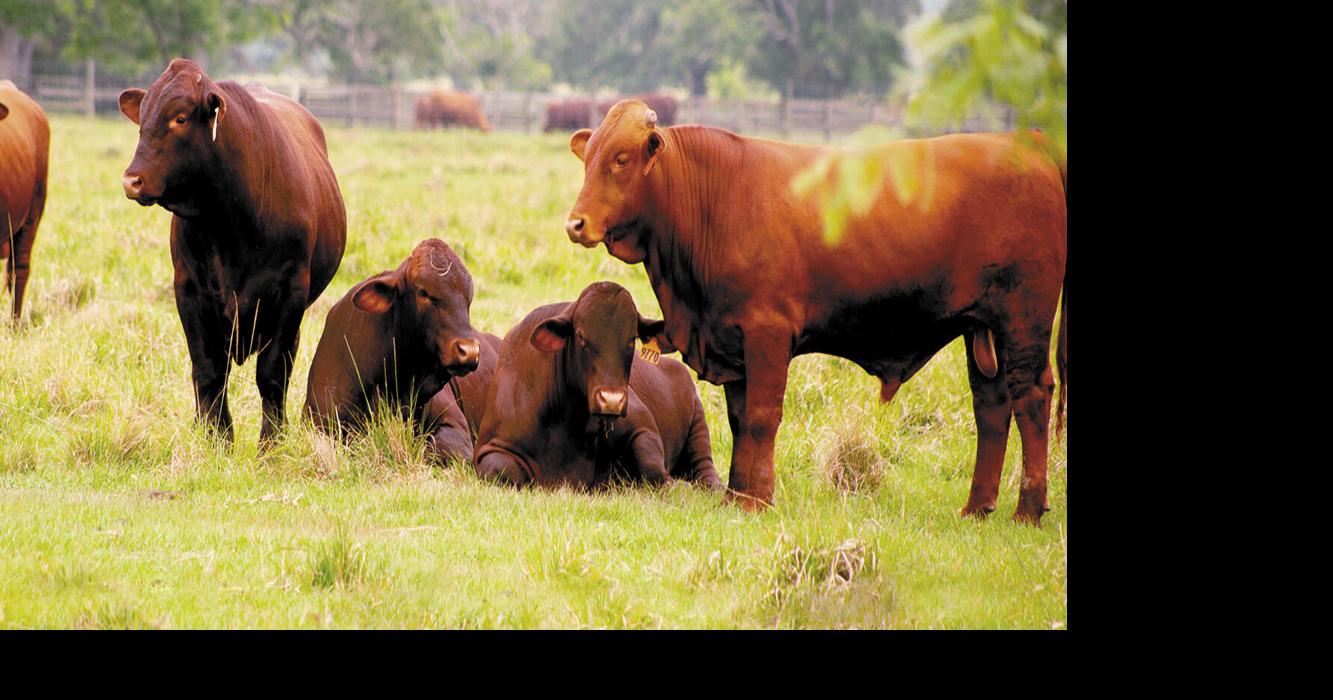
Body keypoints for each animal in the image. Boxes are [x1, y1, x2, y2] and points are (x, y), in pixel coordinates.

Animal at [119, 58, 347, 445]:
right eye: (142, 118)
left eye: (180, 118)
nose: (132, 180)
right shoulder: (189, 290)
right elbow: (208, 370)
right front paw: (215, 437)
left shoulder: (290, 294)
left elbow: (272, 374)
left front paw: (271, 443)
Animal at [473, 281, 722, 491]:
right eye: (581, 336)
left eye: (632, 338)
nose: (611, 400)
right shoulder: (490, 449)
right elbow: (502, 470)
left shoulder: (643, 424)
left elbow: (653, 468)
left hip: (698, 426)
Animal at [563, 100, 1067, 524]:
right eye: (587, 160)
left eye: (621, 159)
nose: (575, 224)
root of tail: (1029, 140)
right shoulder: (733, 341)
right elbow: (740, 420)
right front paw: (737, 497)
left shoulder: (767, 333)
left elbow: (762, 417)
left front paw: (758, 500)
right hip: (982, 327)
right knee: (992, 405)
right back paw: (977, 506)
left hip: (1024, 319)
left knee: (1031, 397)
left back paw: (1028, 508)